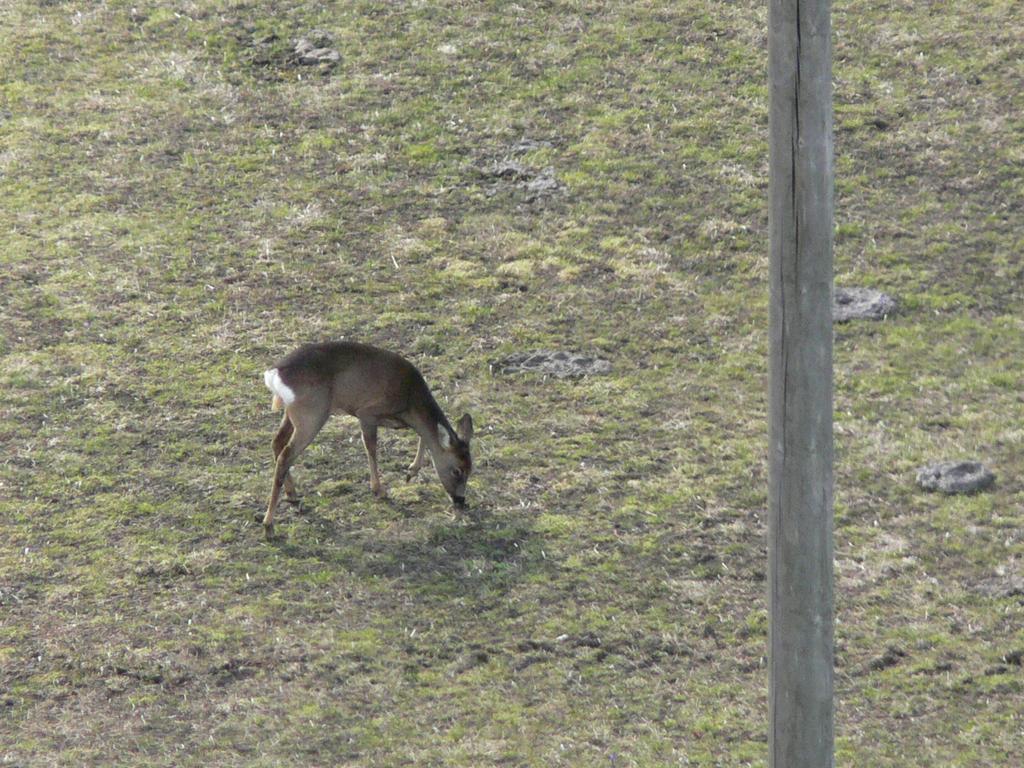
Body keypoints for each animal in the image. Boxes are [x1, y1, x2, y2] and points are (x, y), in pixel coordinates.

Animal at [262, 342, 473, 540]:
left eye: (471, 469)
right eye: (457, 471)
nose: (461, 500)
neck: (409, 401)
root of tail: (274, 373)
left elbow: (424, 436)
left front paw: (411, 471)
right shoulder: (367, 412)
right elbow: (371, 448)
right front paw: (379, 489)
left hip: (293, 415)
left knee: (277, 443)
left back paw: (292, 495)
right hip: (311, 415)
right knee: (285, 456)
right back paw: (269, 525)